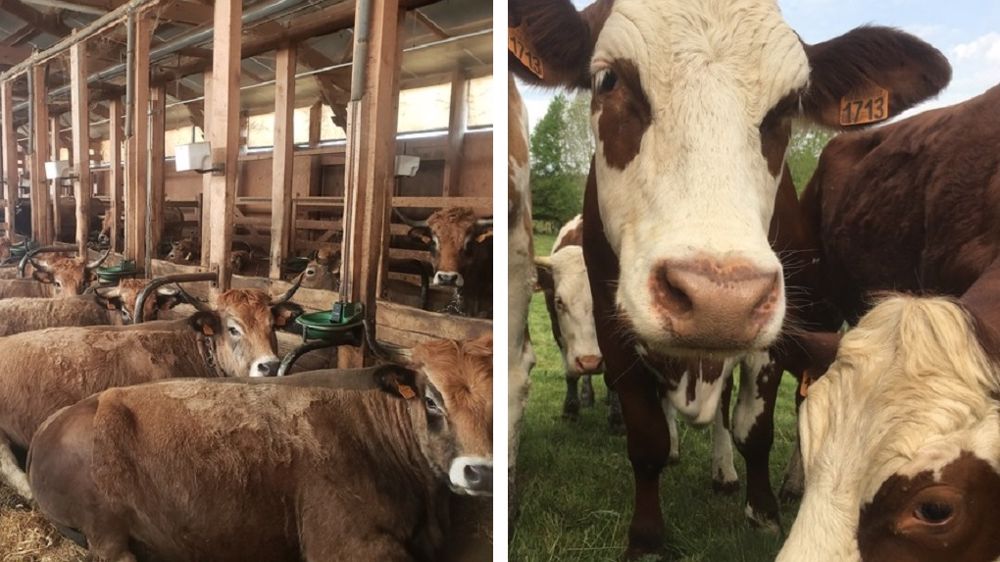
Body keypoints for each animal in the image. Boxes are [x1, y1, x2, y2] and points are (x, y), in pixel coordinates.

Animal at [510, 1, 951, 555]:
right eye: (608, 80)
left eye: (788, 106)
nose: (720, 300)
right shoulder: (613, 330)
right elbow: (647, 438)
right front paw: (647, 539)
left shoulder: (777, 332)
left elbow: (752, 428)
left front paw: (763, 512)